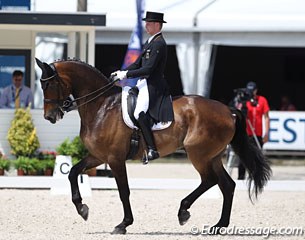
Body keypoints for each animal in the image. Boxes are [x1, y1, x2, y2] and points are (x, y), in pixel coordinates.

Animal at [35, 58, 270, 234]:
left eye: (48, 84)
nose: (49, 116)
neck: (101, 106)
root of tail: (228, 110)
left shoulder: (115, 159)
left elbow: (124, 191)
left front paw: (123, 224)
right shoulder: (99, 156)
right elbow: (73, 172)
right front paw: (82, 208)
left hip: (198, 154)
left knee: (210, 180)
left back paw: (183, 212)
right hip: (212, 156)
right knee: (227, 185)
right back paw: (218, 226)